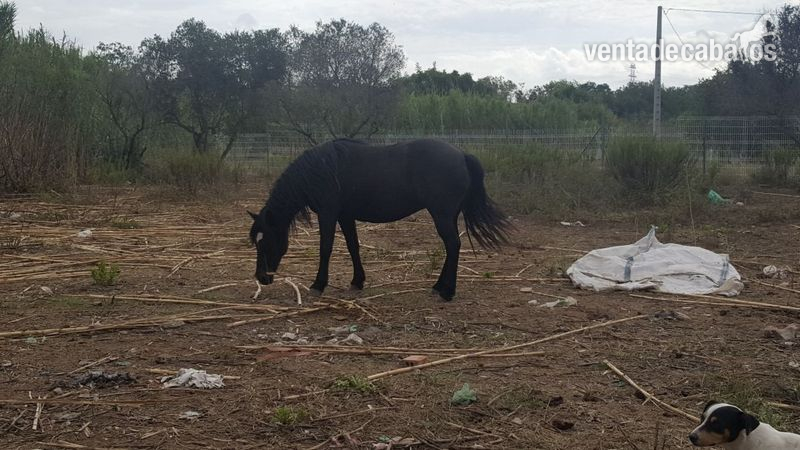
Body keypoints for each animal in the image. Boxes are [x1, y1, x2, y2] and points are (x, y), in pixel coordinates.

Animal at [248, 138, 510, 301]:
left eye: (265, 241)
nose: (262, 277)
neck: (320, 170)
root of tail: (462, 155)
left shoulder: (328, 213)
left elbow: (325, 248)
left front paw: (318, 285)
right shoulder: (345, 215)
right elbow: (353, 246)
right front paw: (357, 282)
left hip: (442, 215)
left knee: (453, 245)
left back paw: (447, 292)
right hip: (448, 215)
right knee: (451, 247)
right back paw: (438, 287)